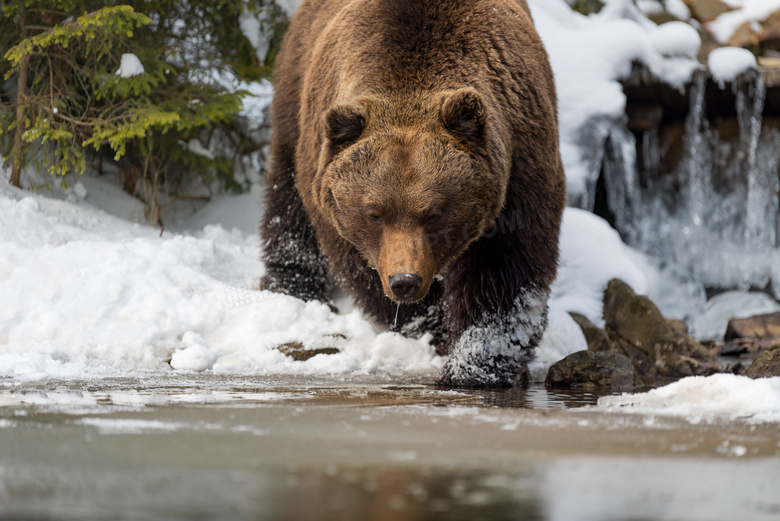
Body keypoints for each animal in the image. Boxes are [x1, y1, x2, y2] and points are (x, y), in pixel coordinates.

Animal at [262, 0, 568, 384]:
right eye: (374, 214)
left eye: (435, 213)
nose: (404, 281)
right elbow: (362, 266)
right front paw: (432, 325)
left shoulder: (520, 167)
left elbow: (505, 271)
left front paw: (472, 365)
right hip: (295, 89)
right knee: (287, 201)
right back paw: (290, 285)